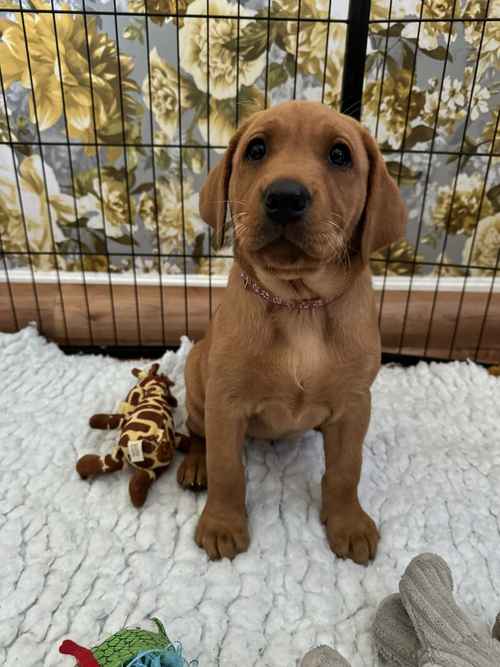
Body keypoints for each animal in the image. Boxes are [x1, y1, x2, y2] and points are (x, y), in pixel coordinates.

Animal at [178, 100, 404, 564]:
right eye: (256, 149)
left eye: (340, 155)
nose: (285, 196)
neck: (300, 304)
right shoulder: (225, 403)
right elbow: (226, 467)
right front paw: (222, 524)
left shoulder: (355, 405)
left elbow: (346, 469)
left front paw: (348, 523)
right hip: (197, 381)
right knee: (196, 433)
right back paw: (194, 463)